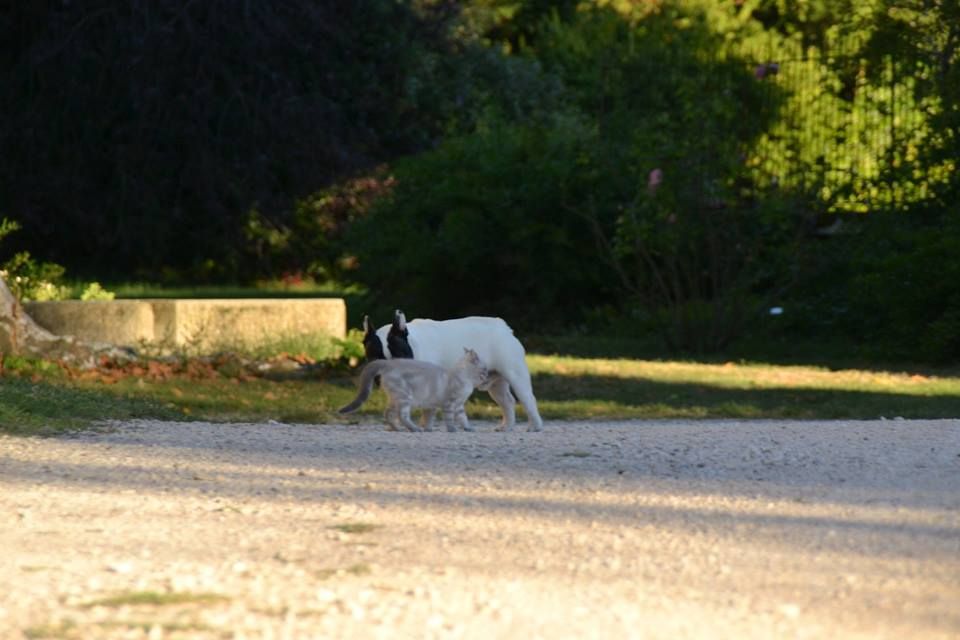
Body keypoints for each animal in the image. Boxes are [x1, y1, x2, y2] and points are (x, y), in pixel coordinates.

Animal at [339, 347, 489, 432]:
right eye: (485, 370)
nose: (488, 375)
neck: (465, 381)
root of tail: (388, 363)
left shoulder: (456, 406)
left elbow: (462, 418)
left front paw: (468, 428)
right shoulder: (450, 404)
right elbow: (450, 419)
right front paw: (452, 430)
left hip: (394, 399)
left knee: (388, 414)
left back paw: (397, 429)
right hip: (405, 398)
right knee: (402, 416)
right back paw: (414, 429)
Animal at [362, 310, 543, 432]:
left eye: (401, 356)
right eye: (374, 359)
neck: (414, 346)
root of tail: (504, 328)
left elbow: (427, 409)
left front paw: (425, 426)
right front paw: (396, 425)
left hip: (516, 375)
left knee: (528, 399)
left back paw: (535, 426)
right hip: (496, 384)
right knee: (507, 401)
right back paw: (507, 427)